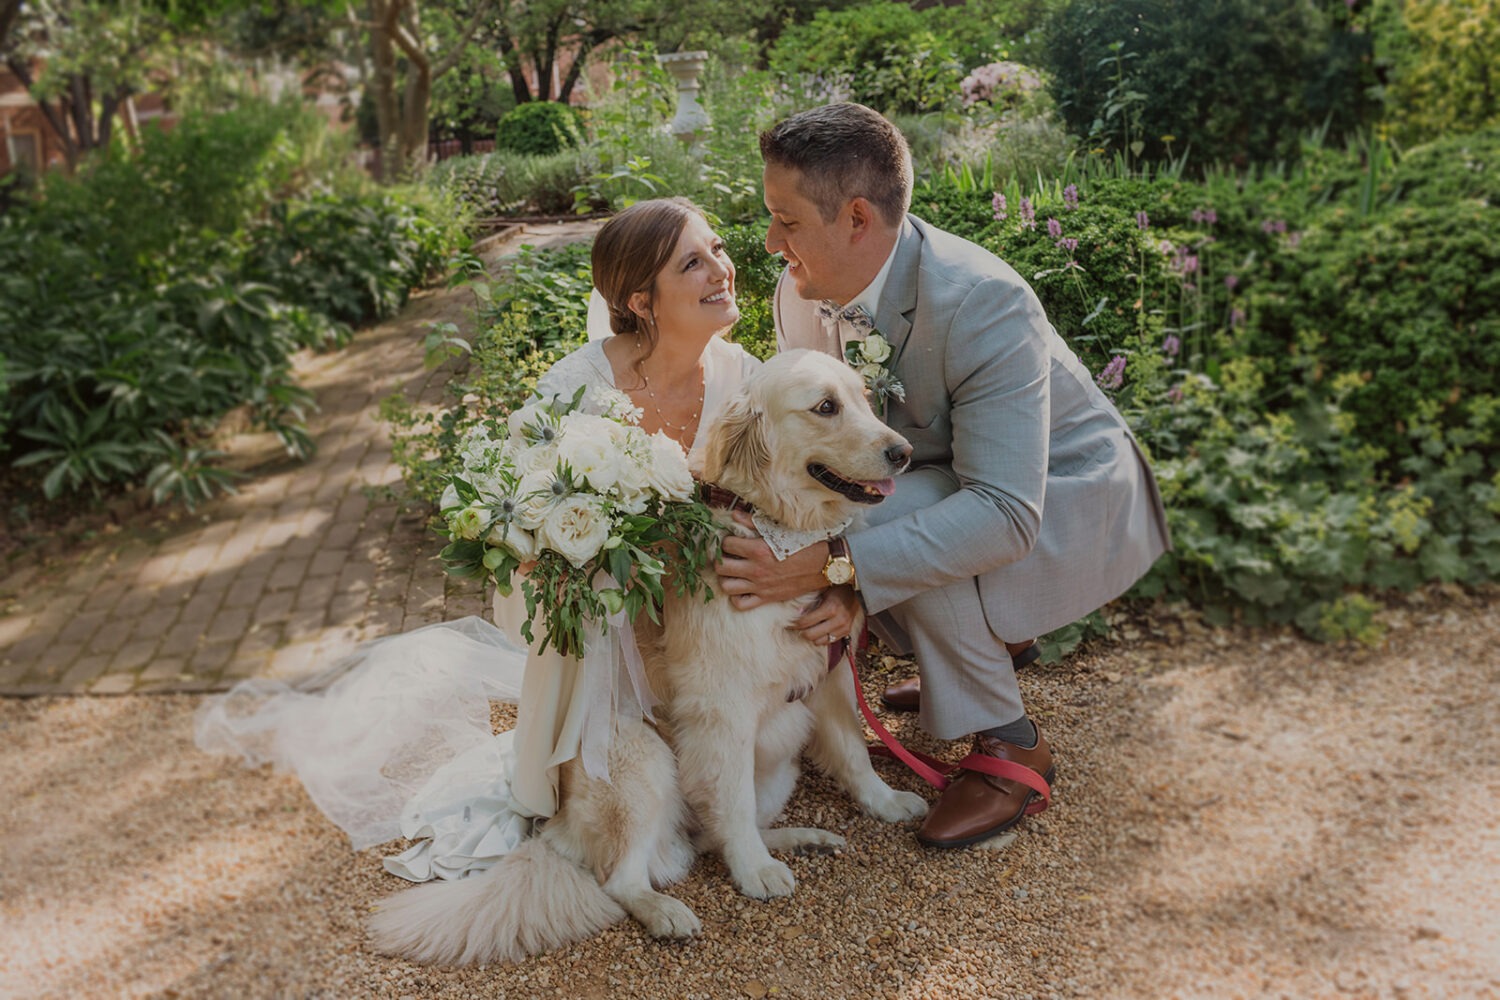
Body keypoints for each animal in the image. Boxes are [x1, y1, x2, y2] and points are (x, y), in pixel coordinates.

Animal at [366, 350, 924, 959]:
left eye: (863, 399)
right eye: (825, 407)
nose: (904, 452)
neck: (772, 527)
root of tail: (554, 834)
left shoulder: (831, 673)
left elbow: (854, 751)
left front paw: (886, 801)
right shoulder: (722, 709)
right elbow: (732, 799)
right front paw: (753, 871)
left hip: (776, 763)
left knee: (710, 836)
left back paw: (799, 838)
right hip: (640, 759)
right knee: (626, 877)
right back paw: (669, 909)